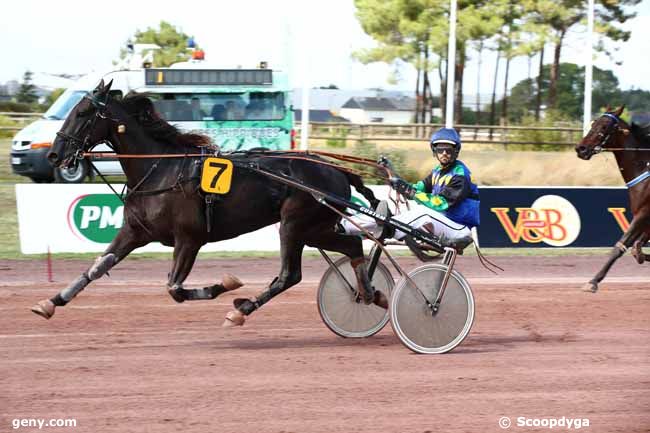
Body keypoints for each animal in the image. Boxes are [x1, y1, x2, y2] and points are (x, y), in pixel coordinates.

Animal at [31, 80, 384, 324]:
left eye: (82, 113)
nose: (54, 155)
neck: (161, 168)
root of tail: (337, 169)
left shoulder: (189, 238)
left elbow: (174, 288)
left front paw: (225, 285)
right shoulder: (135, 231)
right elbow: (96, 267)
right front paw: (51, 302)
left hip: (294, 225)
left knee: (289, 275)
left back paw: (243, 309)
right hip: (315, 229)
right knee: (353, 245)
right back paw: (369, 293)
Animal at [576, 105, 644, 290]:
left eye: (605, 126)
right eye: (593, 123)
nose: (581, 148)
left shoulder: (644, 213)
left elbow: (621, 246)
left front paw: (593, 281)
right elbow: (635, 248)